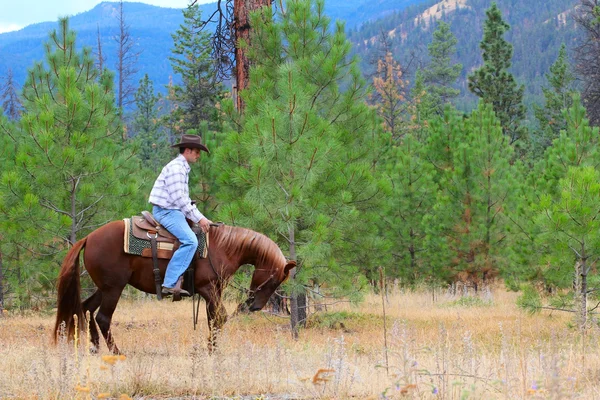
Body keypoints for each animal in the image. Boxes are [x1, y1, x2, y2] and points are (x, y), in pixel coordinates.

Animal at [53, 220, 296, 354]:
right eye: (275, 280)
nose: (255, 306)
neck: (222, 247)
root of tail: (88, 238)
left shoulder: (213, 292)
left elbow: (214, 319)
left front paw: (212, 348)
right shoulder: (208, 289)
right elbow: (220, 317)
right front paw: (211, 350)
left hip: (104, 287)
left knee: (86, 308)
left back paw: (94, 347)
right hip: (114, 288)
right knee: (103, 318)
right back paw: (116, 351)